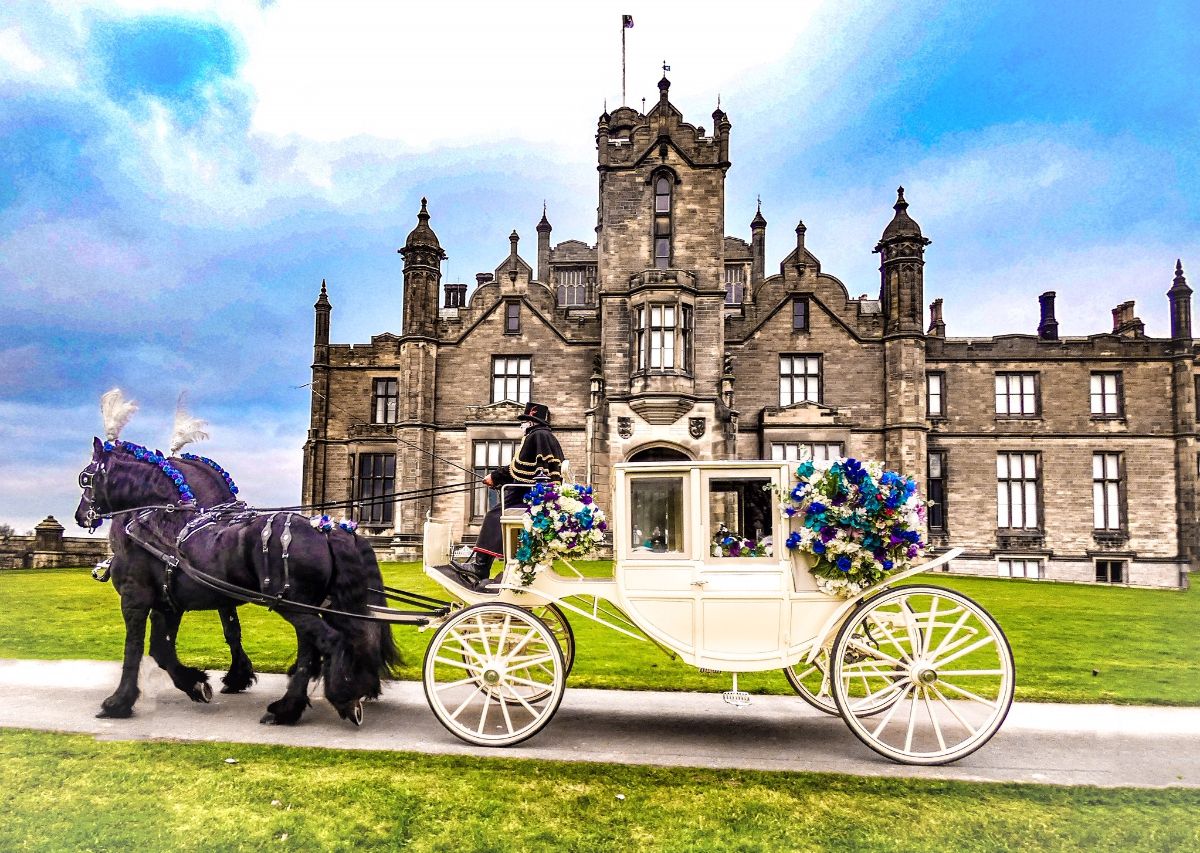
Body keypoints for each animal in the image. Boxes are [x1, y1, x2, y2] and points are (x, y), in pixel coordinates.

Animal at [75, 436, 399, 725]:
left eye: (85, 478)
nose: (80, 516)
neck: (157, 521)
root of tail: (326, 527)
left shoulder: (135, 598)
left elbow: (134, 649)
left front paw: (119, 702)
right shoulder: (170, 603)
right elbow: (163, 648)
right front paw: (197, 683)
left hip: (293, 605)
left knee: (329, 641)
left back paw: (338, 697)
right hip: (305, 604)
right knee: (312, 649)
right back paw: (289, 707)